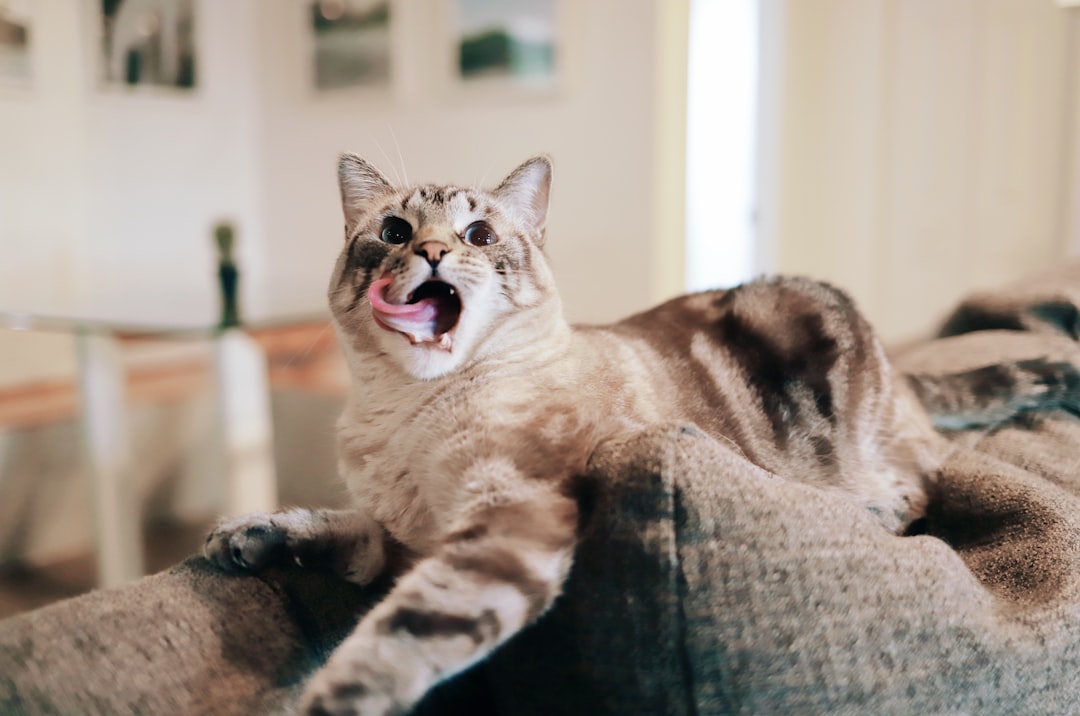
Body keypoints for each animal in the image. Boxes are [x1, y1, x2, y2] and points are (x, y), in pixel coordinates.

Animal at [204, 154, 1080, 712]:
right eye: (391, 230)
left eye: (479, 236)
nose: (430, 251)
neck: (404, 412)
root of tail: (905, 375)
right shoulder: (404, 541)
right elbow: (339, 532)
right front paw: (254, 536)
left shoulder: (506, 521)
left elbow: (398, 638)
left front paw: (332, 701)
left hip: (816, 328)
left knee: (919, 480)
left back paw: (874, 502)